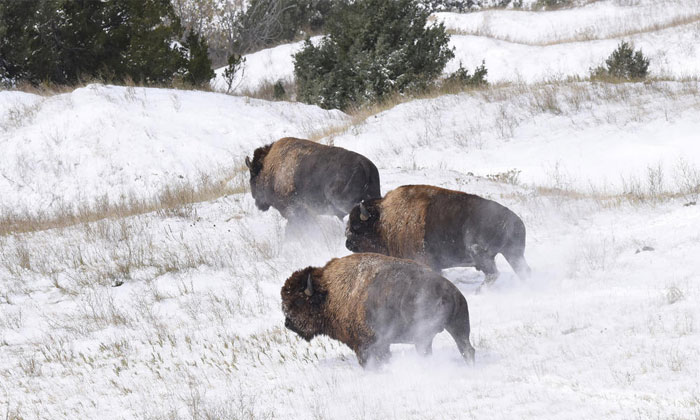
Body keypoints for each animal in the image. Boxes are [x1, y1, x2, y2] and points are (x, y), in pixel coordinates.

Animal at [281, 253, 475, 368]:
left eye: (298, 302)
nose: (288, 323)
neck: (329, 292)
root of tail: (448, 292)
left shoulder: (366, 345)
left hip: (426, 335)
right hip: (458, 328)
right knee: (467, 349)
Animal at [345, 185, 531, 291]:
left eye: (357, 227)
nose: (348, 243)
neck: (383, 221)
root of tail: (514, 220)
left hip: (482, 255)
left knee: (493, 274)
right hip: (513, 254)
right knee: (522, 271)